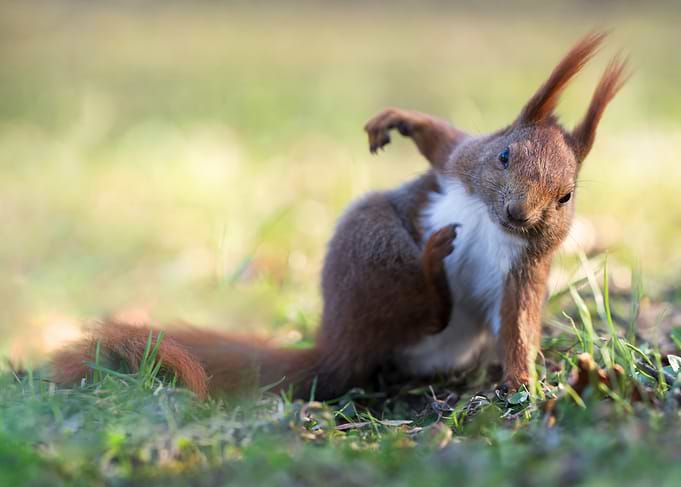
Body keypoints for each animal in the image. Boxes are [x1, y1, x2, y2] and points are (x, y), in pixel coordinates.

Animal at [51, 32, 627, 400]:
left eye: (566, 197)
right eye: (505, 155)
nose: (518, 213)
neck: (488, 219)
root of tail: (337, 346)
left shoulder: (527, 270)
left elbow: (520, 327)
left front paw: (522, 382)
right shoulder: (461, 161)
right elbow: (440, 140)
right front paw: (397, 120)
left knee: (430, 319)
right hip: (371, 242)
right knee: (420, 305)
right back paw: (433, 263)